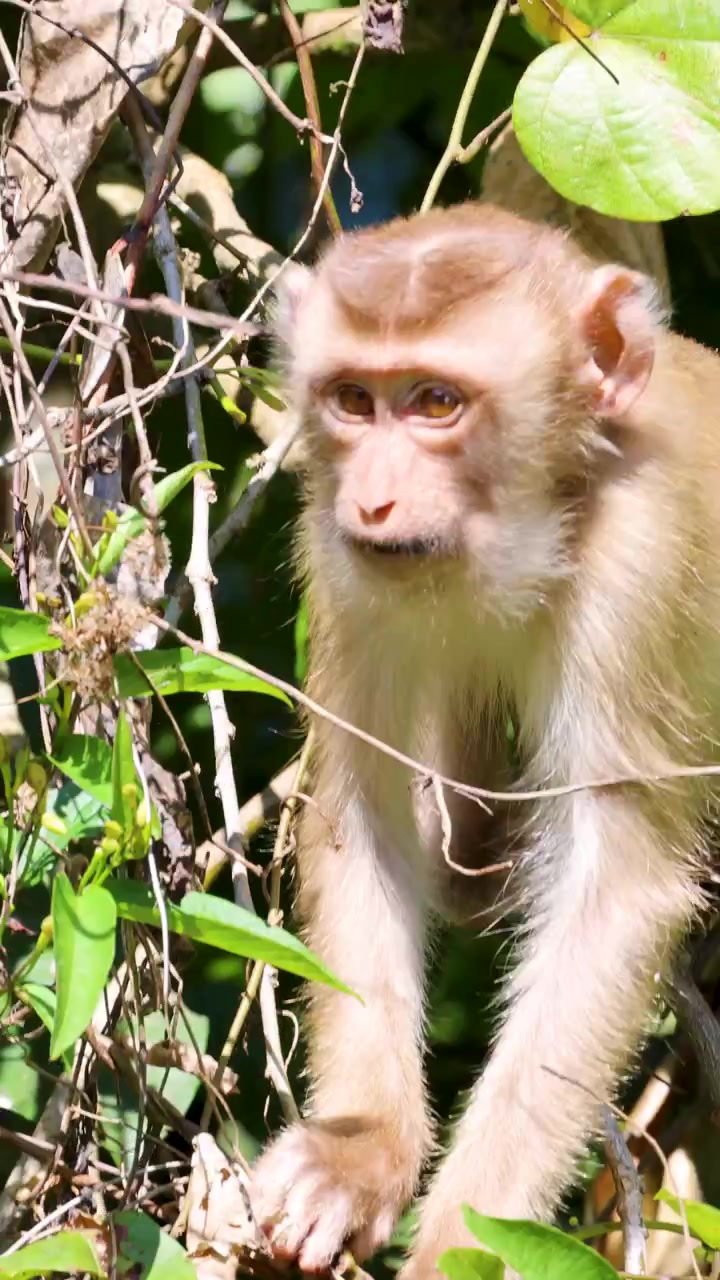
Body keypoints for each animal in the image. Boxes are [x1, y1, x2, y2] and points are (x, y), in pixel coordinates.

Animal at [250, 202, 720, 1278]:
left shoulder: (643, 556)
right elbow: (362, 816)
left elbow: (616, 891)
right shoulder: (337, 554)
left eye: (436, 402)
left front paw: (457, 1247)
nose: (374, 498)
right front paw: (360, 1155)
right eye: (353, 400)